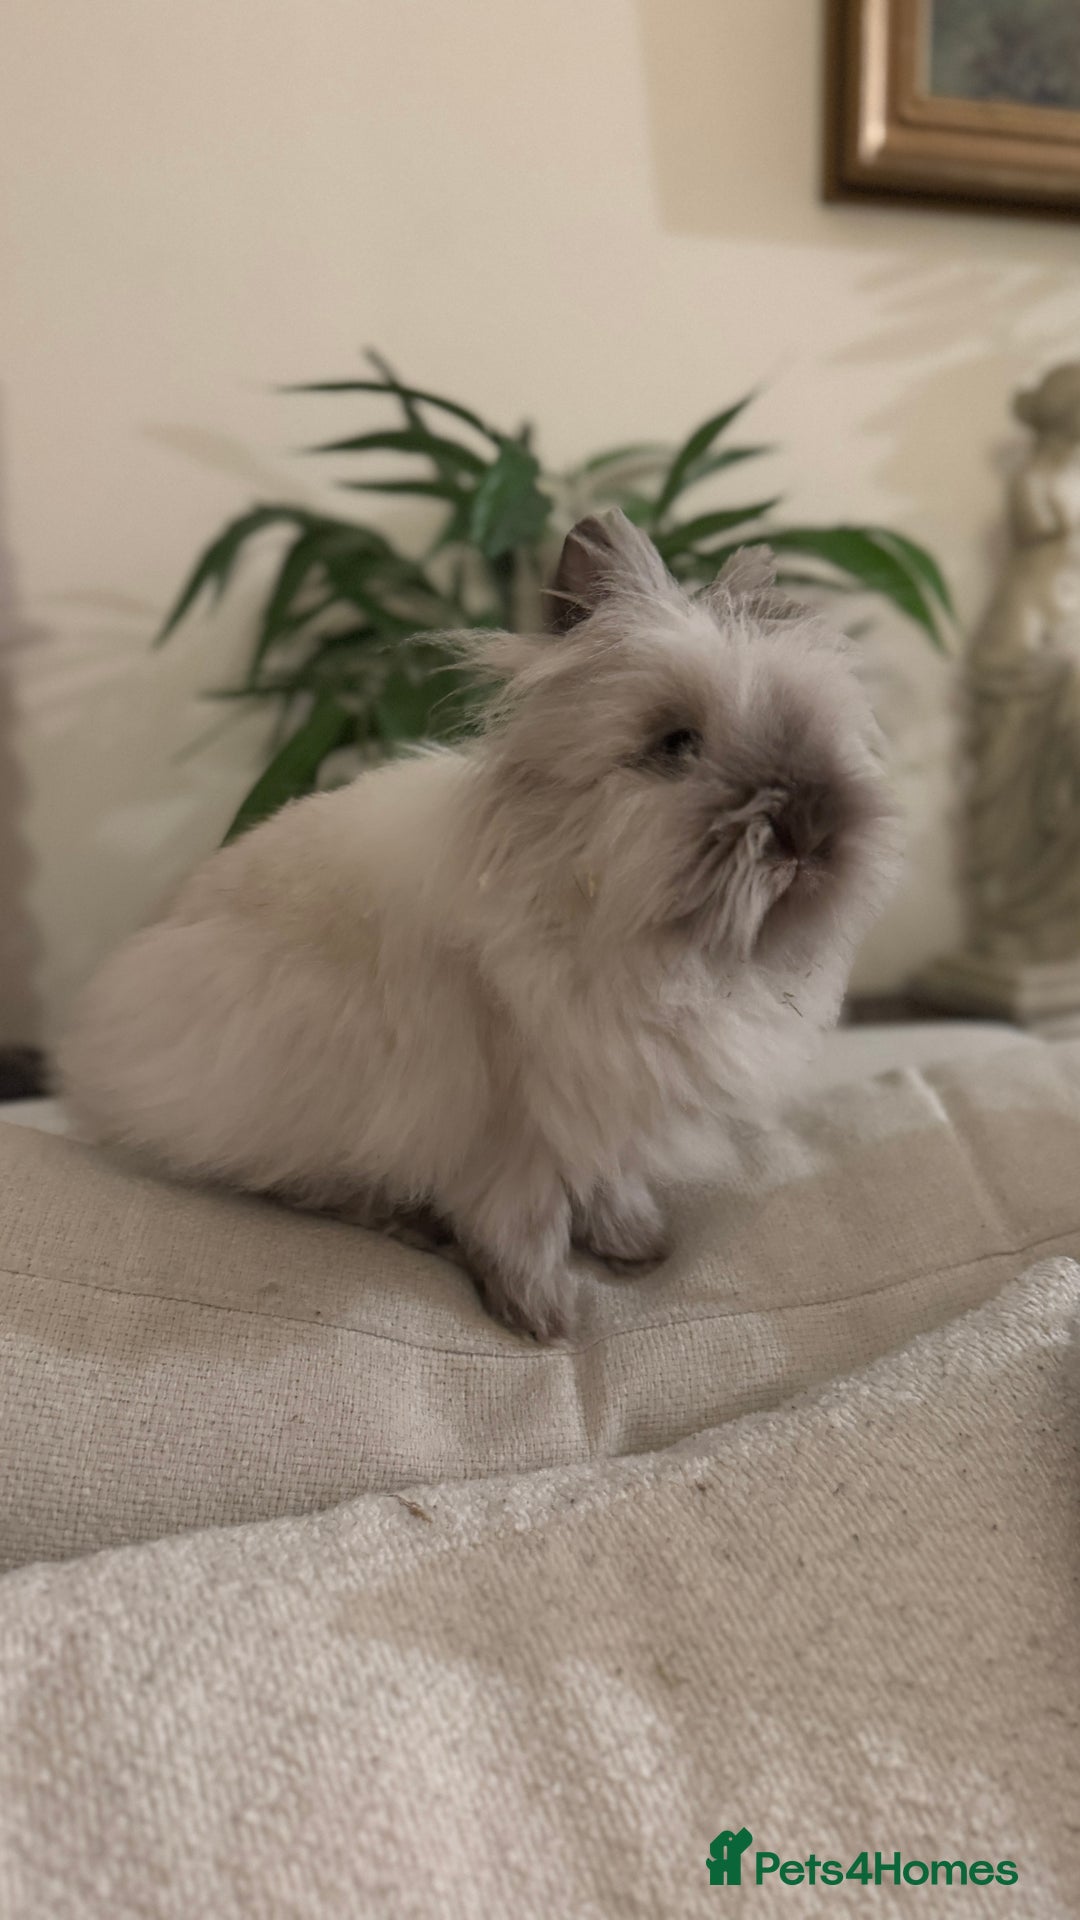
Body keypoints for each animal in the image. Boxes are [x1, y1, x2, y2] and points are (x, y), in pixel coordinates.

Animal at [59, 512, 902, 1342]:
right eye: (676, 744)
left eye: (816, 728)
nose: (811, 828)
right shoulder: (511, 1125)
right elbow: (522, 1222)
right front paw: (547, 1319)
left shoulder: (606, 1106)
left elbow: (611, 1181)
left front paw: (636, 1246)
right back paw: (407, 1221)